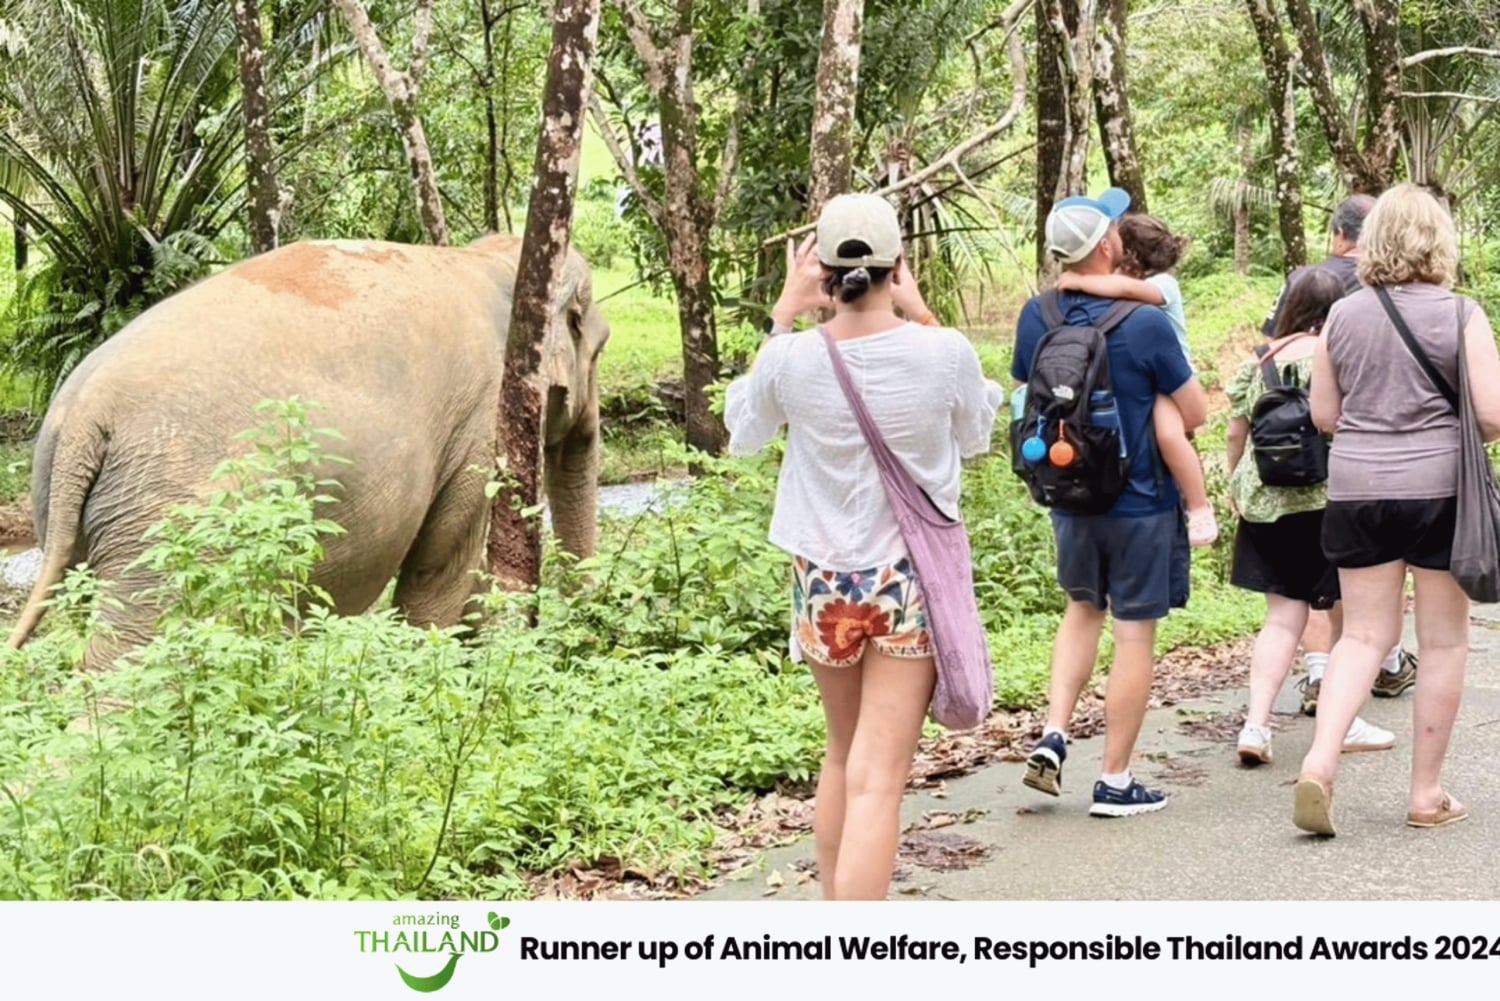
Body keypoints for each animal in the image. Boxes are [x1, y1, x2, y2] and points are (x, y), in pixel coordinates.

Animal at [6, 234, 610, 667]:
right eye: (599, 349)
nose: (584, 635)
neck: (490, 256)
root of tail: (83, 418)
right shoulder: (480, 417)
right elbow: (442, 567)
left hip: (74, 512)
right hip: (167, 524)